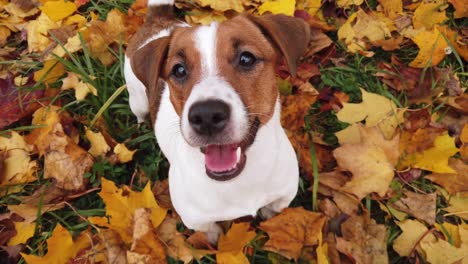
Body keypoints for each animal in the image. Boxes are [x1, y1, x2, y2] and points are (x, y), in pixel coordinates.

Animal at [123, 0, 310, 241]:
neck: (240, 180)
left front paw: (269, 217)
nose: (206, 116)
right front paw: (214, 240)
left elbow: (275, 208)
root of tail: (158, 19)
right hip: (137, 99)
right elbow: (210, 232)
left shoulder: (284, 194)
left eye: (246, 58)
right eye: (179, 70)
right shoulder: (197, 220)